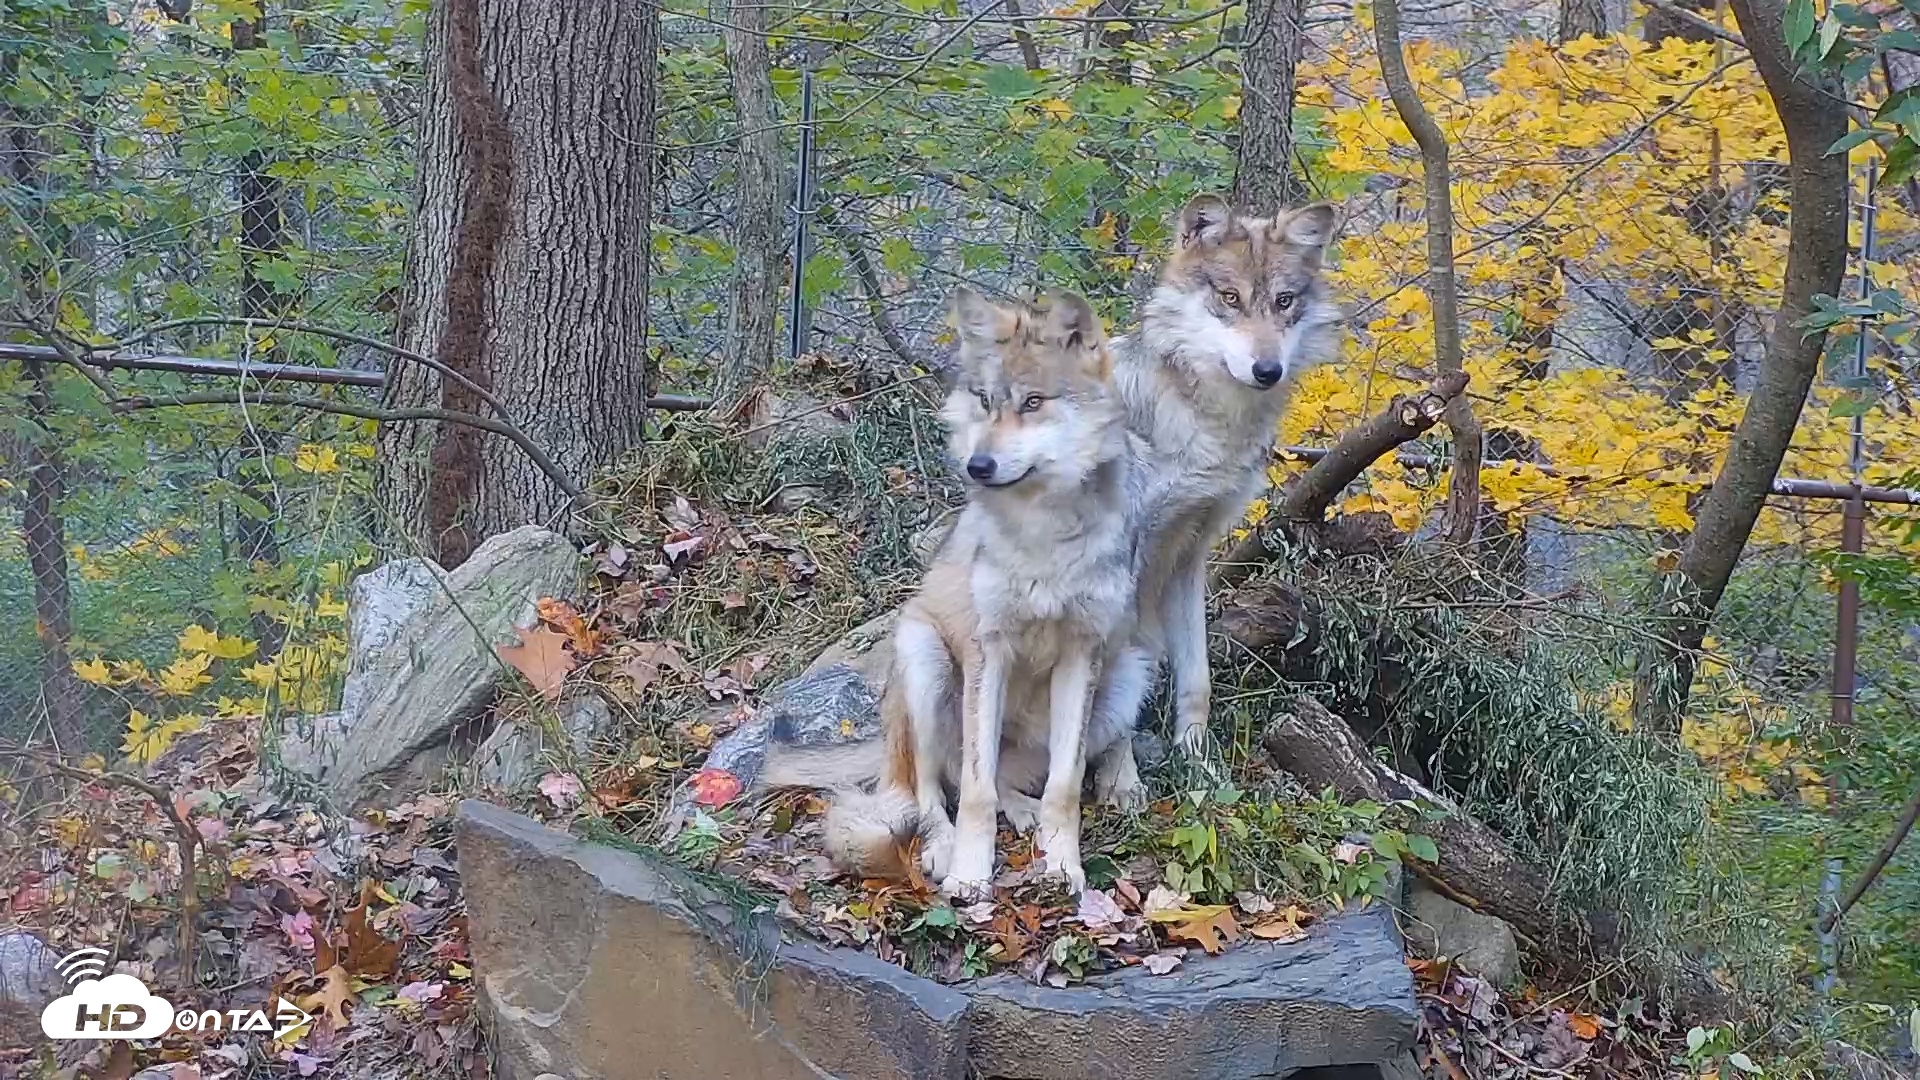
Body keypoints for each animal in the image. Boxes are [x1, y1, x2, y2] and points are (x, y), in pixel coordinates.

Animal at [764, 287, 1145, 897]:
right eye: (986, 401)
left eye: (1033, 403)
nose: (978, 465)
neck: (1044, 532)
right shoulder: (987, 650)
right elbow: (975, 792)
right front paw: (971, 874)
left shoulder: (1081, 653)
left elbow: (1063, 788)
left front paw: (1063, 868)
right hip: (925, 658)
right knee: (932, 790)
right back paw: (944, 849)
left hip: (1127, 673)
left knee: (1012, 778)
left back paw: (1028, 811)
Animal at [1083, 193, 1342, 801]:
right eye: (1230, 298)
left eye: (1283, 301)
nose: (1267, 370)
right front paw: (1121, 783)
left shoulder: (1191, 550)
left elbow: (1196, 678)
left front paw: (1200, 768)